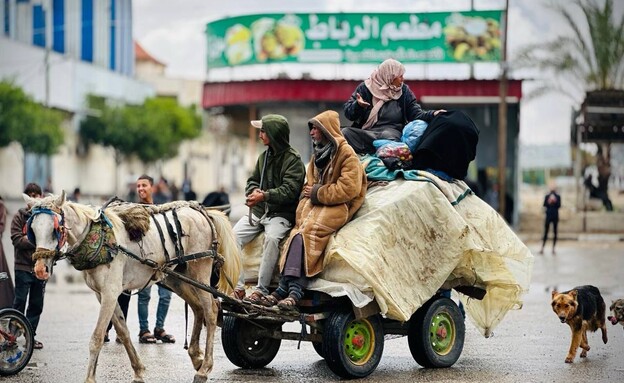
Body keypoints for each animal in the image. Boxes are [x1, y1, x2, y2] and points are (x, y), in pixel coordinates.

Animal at [23, 192, 239, 383]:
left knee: (211, 311)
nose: (40, 269)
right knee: (197, 308)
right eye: (32, 229)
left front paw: (90, 378)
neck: (100, 239)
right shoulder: (103, 295)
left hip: (200, 271)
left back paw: (204, 368)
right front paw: (138, 370)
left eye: (55, 229)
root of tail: (202, 212)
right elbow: (123, 332)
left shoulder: (110, 293)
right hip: (177, 278)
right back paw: (196, 357)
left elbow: (97, 337)